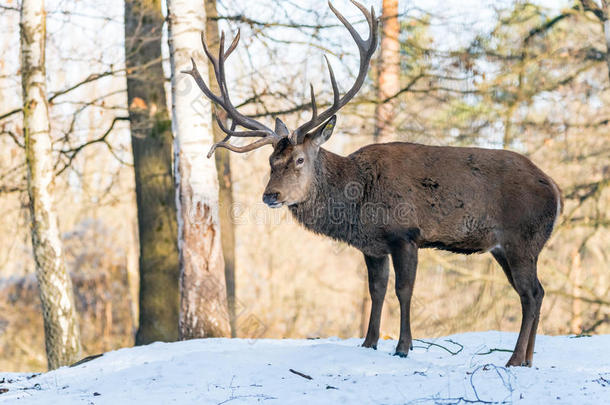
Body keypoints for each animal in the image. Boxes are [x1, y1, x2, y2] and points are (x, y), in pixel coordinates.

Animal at [184, 0, 560, 366]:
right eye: (270, 162)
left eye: (300, 160)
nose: (270, 195)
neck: (357, 201)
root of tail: (556, 190)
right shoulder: (372, 245)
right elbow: (376, 290)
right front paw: (369, 342)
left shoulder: (405, 234)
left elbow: (404, 290)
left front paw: (404, 347)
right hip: (506, 247)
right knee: (535, 292)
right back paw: (527, 359)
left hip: (522, 238)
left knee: (531, 292)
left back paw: (513, 359)